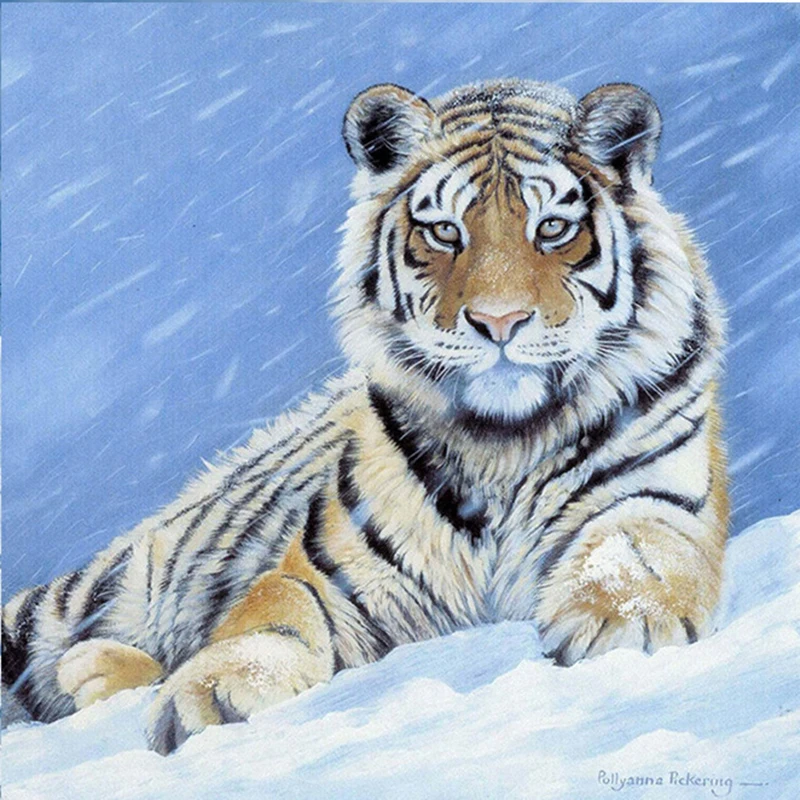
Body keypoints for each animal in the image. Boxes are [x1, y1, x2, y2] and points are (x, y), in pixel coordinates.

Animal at [2, 79, 728, 756]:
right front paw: (214, 693)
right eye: (445, 231)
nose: (498, 322)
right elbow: (273, 614)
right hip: (78, 598)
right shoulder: (332, 568)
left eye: (552, 228)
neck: (507, 440)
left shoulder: (659, 495)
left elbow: (632, 552)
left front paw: (620, 625)